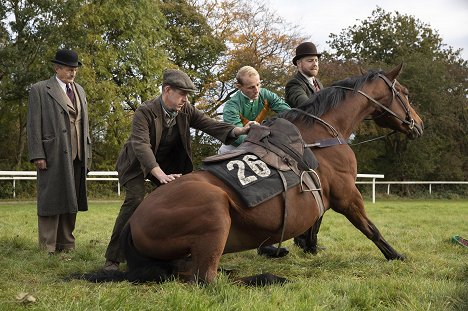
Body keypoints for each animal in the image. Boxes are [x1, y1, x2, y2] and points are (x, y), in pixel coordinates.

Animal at [114, 64, 424, 286]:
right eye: (406, 92)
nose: (419, 124)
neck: (322, 135)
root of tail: (133, 222)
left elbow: (315, 224)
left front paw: (308, 246)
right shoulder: (347, 196)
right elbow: (370, 228)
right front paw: (396, 255)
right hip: (215, 212)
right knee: (206, 280)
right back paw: (268, 277)